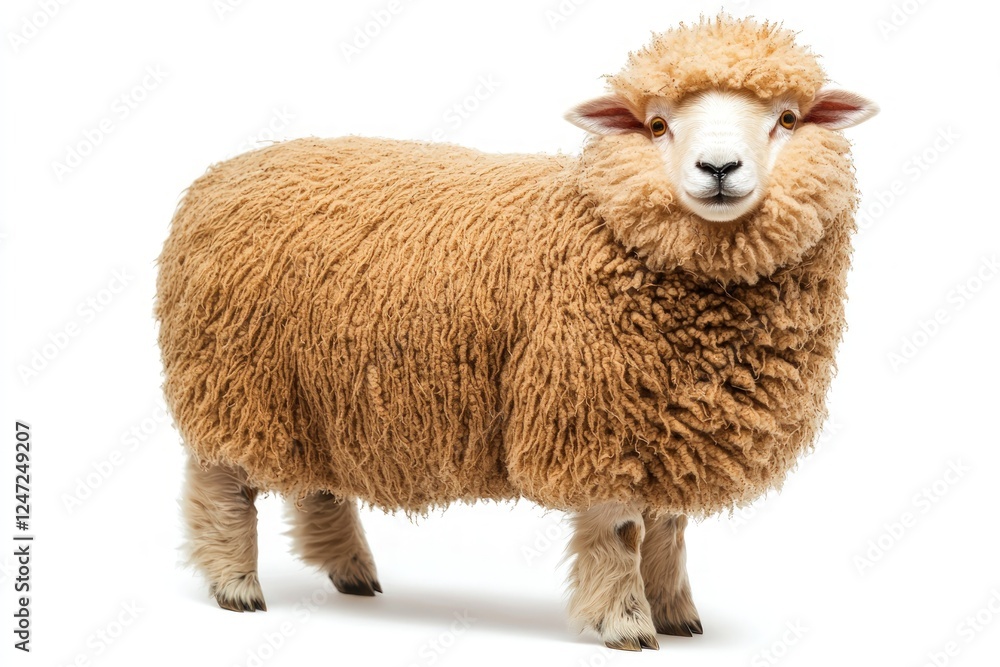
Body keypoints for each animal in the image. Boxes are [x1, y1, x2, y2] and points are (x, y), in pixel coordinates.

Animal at [156, 15, 877, 651]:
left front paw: (676, 611)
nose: (719, 168)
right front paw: (625, 623)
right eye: (656, 124)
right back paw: (235, 582)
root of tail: (218, 178)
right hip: (236, 378)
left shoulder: (671, 423)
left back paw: (350, 570)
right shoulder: (595, 419)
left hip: (317, 387)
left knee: (320, 482)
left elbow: (668, 528)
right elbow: (623, 531)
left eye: (787, 118)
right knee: (221, 484)